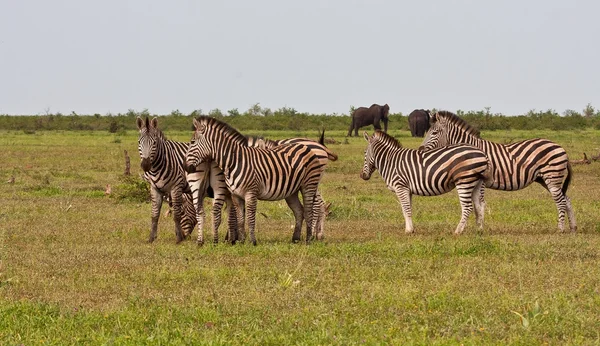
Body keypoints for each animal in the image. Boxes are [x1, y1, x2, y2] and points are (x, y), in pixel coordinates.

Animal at [186, 117, 330, 246]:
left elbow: (250, 218)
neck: (235, 161)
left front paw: (252, 241)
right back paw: (295, 239)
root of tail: (305, 147)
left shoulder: (251, 193)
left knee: (309, 210)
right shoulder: (236, 195)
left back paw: (309, 239)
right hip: (292, 190)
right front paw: (241, 241)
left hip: (309, 185)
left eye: (192, 142)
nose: (186, 167)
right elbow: (240, 219)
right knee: (299, 211)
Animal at [360, 130, 492, 235]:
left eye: (365, 153)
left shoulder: (400, 186)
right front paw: (410, 228)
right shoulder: (407, 189)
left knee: (467, 207)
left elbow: (406, 208)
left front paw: (409, 231)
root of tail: (482, 153)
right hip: (476, 183)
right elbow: (406, 209)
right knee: (479, 205)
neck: (390, 161)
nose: (362, 175)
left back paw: (458, 231)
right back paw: (479, 230)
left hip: (464, 180)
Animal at [418, 112, 576, 234]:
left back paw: (560, 229)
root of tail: (560, 147)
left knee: (561, 201)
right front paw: (478, 228)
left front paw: (480, 229)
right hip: (544, 179)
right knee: (566, 199)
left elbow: (479, 205)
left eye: (434, 132)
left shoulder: (480, 181)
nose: (420, 149)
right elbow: (477, 206)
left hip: (552, 176)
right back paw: (573, 227)